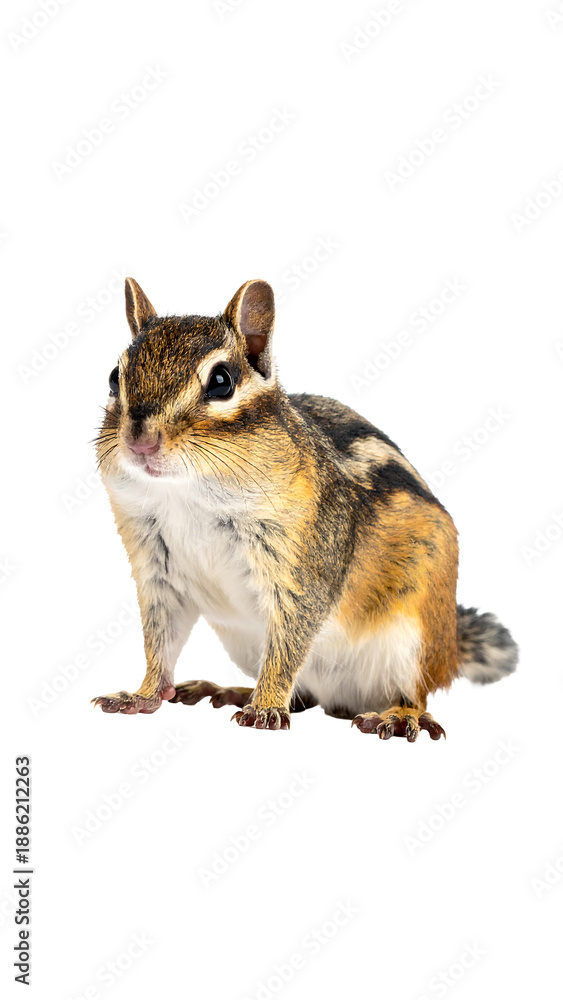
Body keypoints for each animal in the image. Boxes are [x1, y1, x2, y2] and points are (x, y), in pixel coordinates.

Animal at [92, 277, 518, 740]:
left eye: (221, 381)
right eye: (114, 378)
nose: (139, 440)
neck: (186, 495)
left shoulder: (303, 570)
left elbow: (288, 642)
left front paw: (265, 708)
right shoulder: (157, 570)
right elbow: (160, 642)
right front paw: (141, 695)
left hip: (415, 640)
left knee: (416, 693)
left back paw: (397, 716)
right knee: (306, 696)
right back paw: (231, 689)